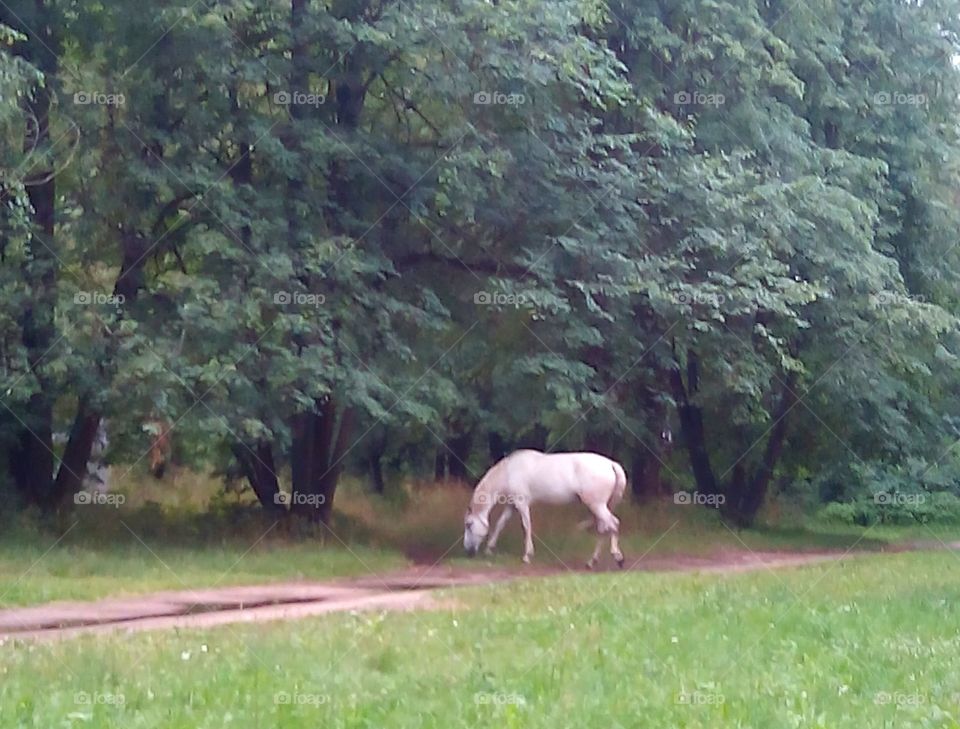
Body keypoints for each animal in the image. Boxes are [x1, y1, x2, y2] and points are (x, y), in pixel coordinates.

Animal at [464, 450, 632, 568]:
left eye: (469, 525)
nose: (468, 551)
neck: (509, 472)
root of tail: (611, 464)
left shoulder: (522, 504)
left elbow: (526, 526)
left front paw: (527, 555)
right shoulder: (511, 505)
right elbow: (500, 524)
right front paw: (489, 548)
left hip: (597, 505)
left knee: (613, 524)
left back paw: (618, 558)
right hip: (600, 506)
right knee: (604, 528)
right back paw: (591, 562)